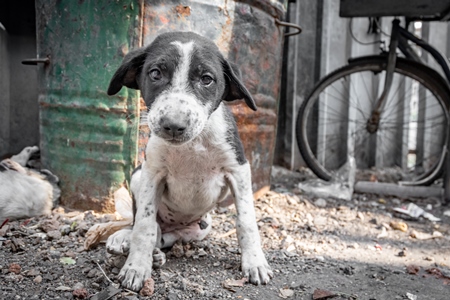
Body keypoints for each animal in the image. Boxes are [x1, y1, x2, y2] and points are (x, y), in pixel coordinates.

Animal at [107, 32, 272, 290]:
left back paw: (157, 252)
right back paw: (130, 242)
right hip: (137, 175)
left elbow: (246, 221)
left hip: (201, 228)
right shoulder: (152, 172)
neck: (192, 144)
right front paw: (136, 267)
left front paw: (255, 263)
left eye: (206, 79)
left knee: (167, 237)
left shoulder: (238, 169)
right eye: (156, 73)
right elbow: (143, 225)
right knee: (144, 226)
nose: (173, 125)